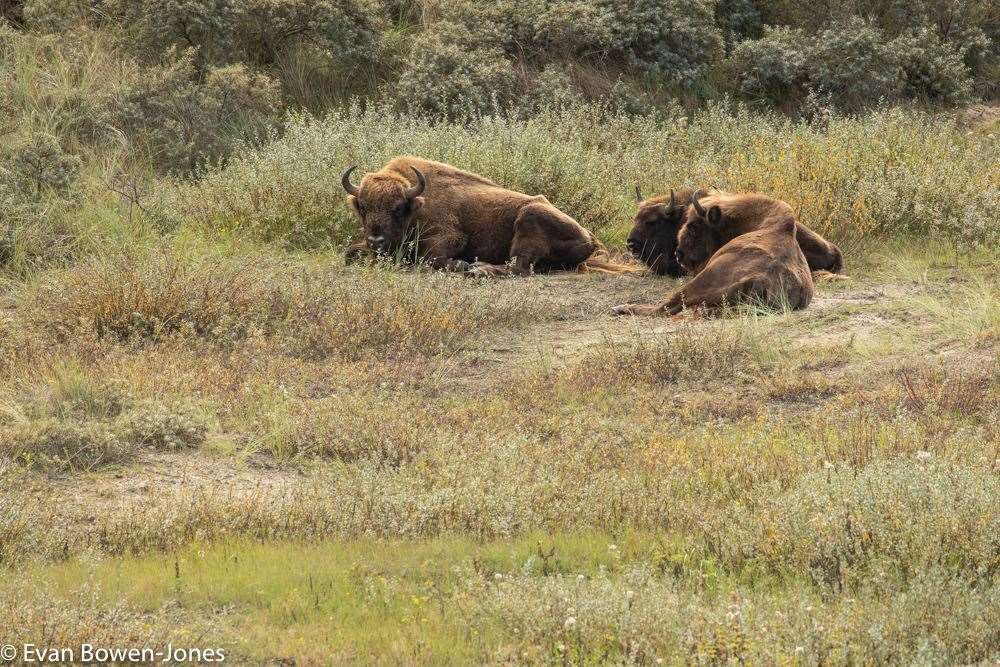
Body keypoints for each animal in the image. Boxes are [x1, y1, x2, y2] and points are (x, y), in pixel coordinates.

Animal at [340, 157, 628, 276]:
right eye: (363, 206)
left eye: (398, 207)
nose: (376, 241)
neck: (418, 203)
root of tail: (590, 237)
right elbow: (349, 253)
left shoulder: (451, 237)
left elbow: (431, 258)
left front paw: (461, 264)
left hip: (529, 216)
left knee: (518, 268)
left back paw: (477, 270)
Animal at [608, 194, 812, 318]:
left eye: (693, 227)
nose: (679, 254)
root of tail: (763, 279)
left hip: (702, 279)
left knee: (666, 306)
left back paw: (621, 308)